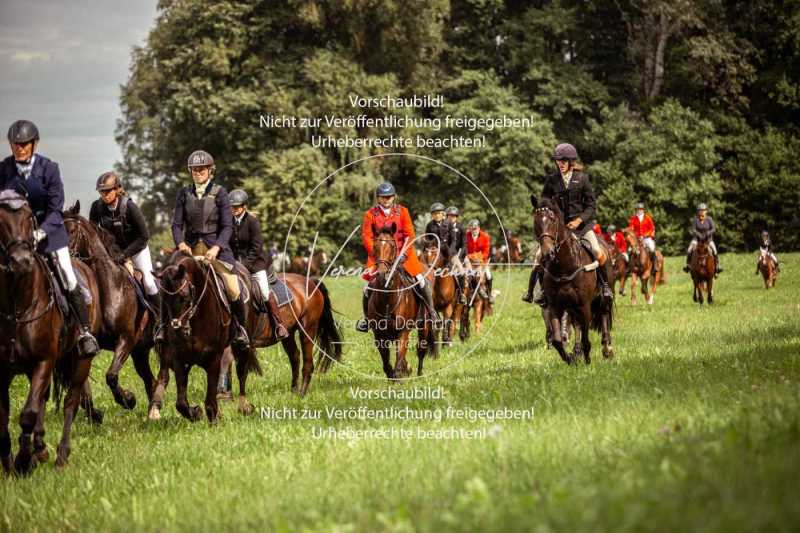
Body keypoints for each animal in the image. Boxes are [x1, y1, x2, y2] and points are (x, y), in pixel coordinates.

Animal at [0, 189, 103, 472]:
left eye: (28, 218)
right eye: (0, 220)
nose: (21, 261)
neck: (18, 305)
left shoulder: (43, 360)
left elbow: (28, 414)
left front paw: (23, 460)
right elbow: (5, 419)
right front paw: (11, 463)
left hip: (80, 360)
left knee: (71, 401)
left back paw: (60, 455)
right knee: (45, 399)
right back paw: (40, 447)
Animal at [62, 202, 156, 410]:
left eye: (72, 231)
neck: (111, 287)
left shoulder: (126, 339)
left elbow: (111, 376)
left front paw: (128, 399)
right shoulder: (90, 343)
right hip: (141, 351)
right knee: (150, 380)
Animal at [147, 251, 262, 422]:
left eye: (184, 296)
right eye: (163, 299)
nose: (177, 329)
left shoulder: (213, 357)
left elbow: (210, 397)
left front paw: (213, 418)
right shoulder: (179, 359)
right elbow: (181, 403)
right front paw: (196, 412)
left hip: (242, 346)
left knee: (241, 372)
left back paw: (244, 407)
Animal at [368, 223, 432, 378]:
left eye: (392, 246)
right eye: (375, 246)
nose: (382, 274)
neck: (387, 298)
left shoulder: (402, 332)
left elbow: (399, 358)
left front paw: (399, 374)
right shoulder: (379, 335)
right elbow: (386, 363)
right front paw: (394, 373)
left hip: (424, 325)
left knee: (421, 349)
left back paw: (419, 373)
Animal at [536, 197, 616, 364]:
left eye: (553, 220)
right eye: (536, 220)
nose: (548, 253)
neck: (564, 266)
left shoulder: (584, 305)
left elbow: (586, 338)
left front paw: (587, 360)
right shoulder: (555, 306)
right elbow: (557, 340)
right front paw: (570, 359)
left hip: (602, 298)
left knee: (604, 315)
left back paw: (607, 349)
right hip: (571, 306)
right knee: (576, 324)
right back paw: (577, 351)